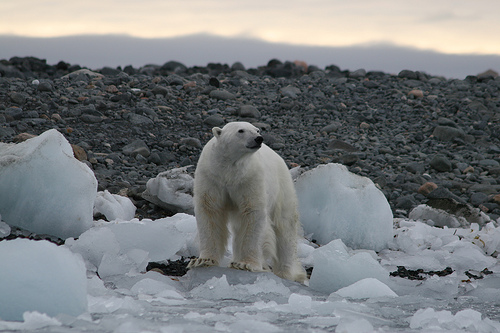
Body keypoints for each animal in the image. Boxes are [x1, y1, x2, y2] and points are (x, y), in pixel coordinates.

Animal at [188, 120, 306, 282]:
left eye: (257, 130)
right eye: (241, 131)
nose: (259, 138)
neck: (230, 169)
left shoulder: (249, 178)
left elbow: (253, 213)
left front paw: (245, 264)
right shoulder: (211, 176)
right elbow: (210, 210)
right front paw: (203, 260)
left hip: (282, 188)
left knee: (285, 227)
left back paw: (285, 273)